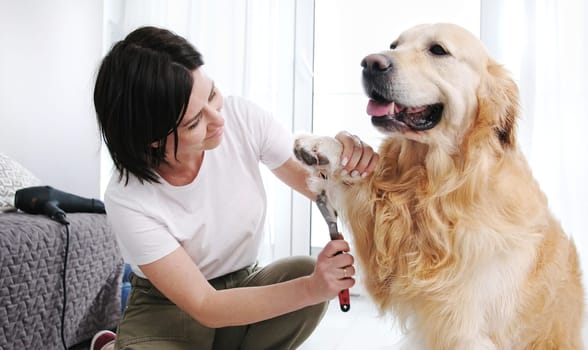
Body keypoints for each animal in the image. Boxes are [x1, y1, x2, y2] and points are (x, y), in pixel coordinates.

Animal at [294, 23, 584, 348]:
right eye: (394, 45)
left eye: (438, 50)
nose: (370, 63)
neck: (438, 184)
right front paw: (320, 146)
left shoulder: (464, 326)